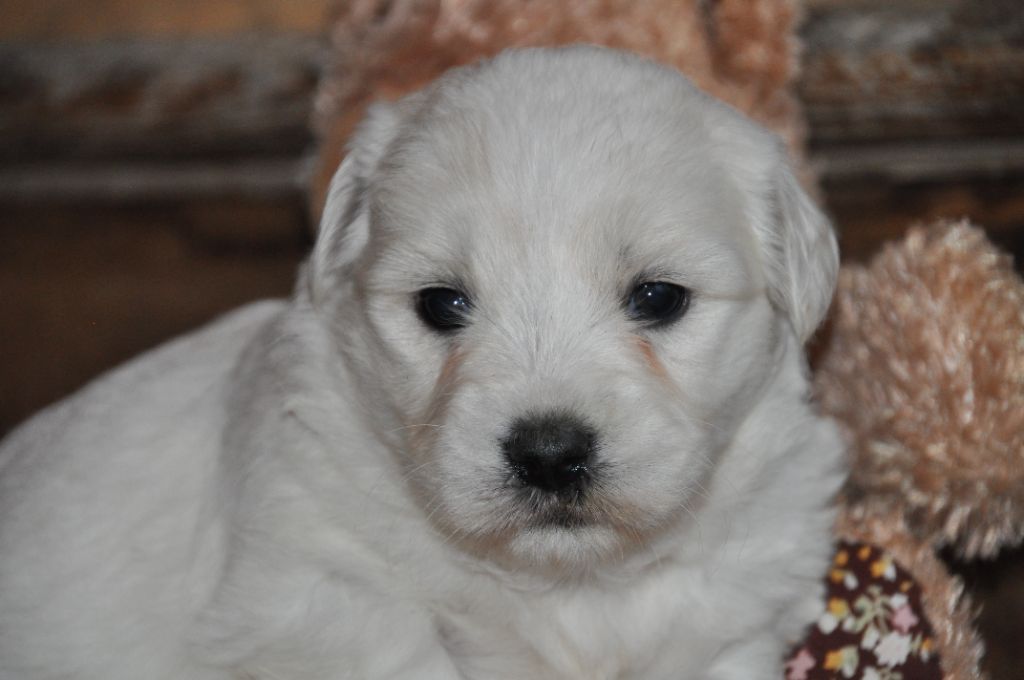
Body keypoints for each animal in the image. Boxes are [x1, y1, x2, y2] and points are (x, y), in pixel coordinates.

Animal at [2, 45, 839, 675]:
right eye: (442, 304)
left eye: (658, 297)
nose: (548, 454)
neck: (569, 584)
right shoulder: (320, 598)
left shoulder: (734, 629)